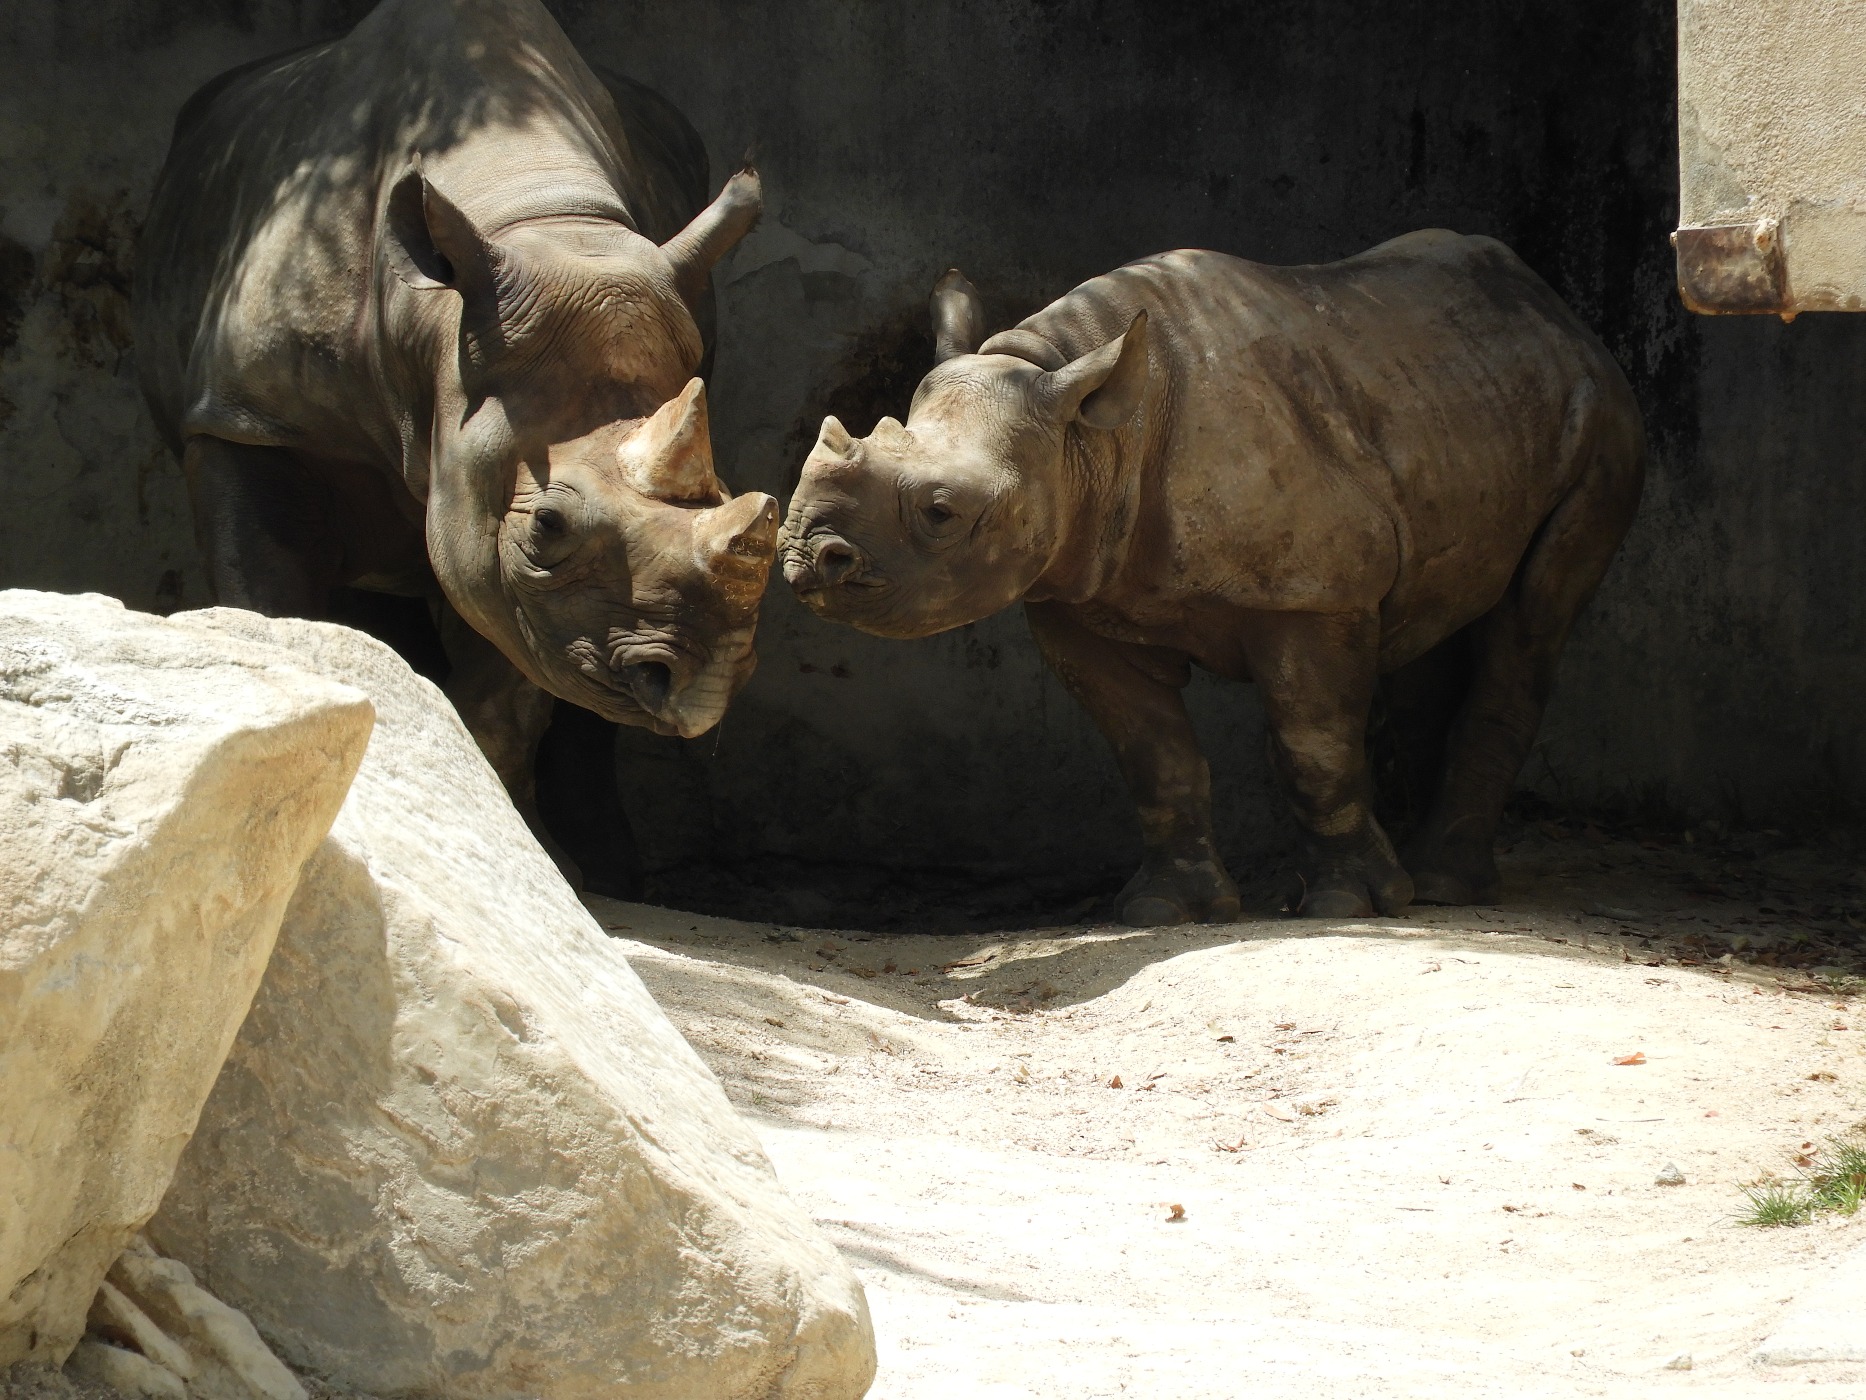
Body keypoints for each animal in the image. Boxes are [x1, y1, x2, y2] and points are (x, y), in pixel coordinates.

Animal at [134, 0, 776, 865]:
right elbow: (269, 606)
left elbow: (508, 692)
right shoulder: (248, 418)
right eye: (547, 524)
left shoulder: (506, 546)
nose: (706, 685)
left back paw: (612, 868)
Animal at [781, 234, 1645, 924]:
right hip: (1451, 402)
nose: (804, 556)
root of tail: (1559, 317)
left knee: (1530, 622)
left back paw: (1439, 888)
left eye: (942, 511)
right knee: (1437, 615)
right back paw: (1416, 872)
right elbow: (1152, 753)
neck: (1087, 433)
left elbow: (1313, 743)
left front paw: (1347, 904)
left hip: (1603, 423)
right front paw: (1167, 910)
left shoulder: (1312, 596)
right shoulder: (1074, 601)